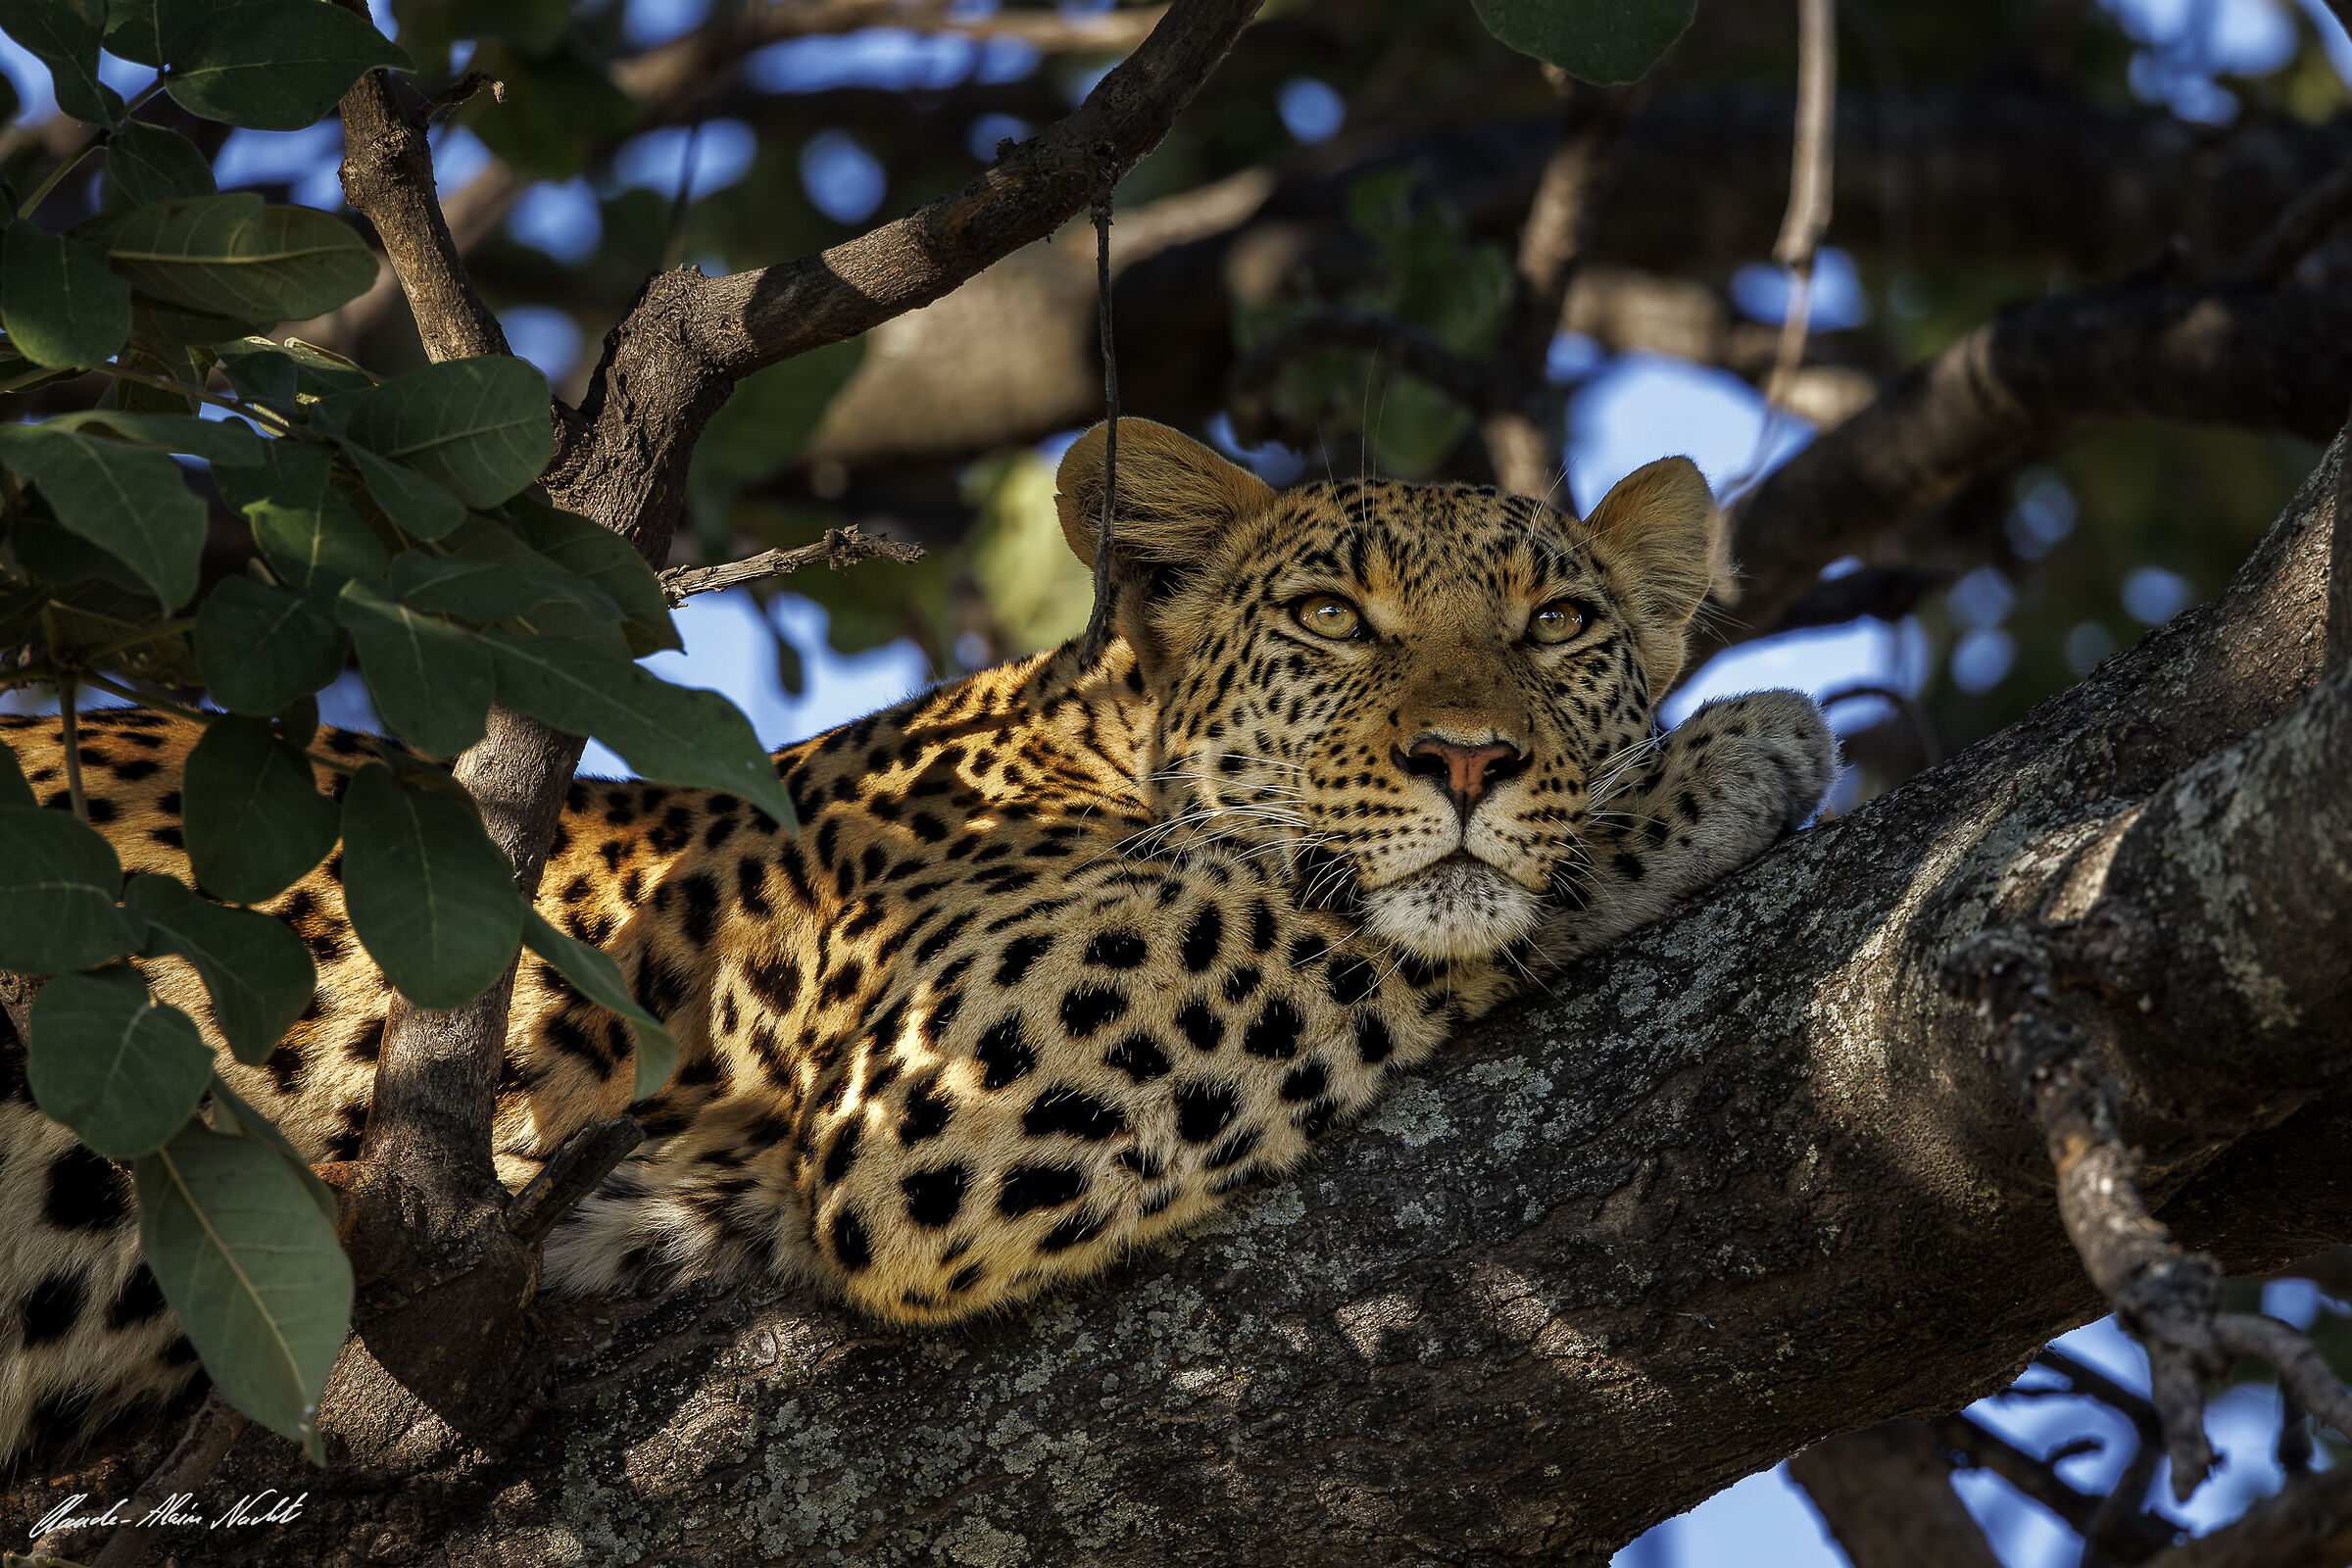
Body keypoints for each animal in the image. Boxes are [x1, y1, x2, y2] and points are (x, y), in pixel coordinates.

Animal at [0, 419, 1835, 1460]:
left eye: (1561, 626)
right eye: (1332, 616)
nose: (1472, 759)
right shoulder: (960, 1063)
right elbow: (1332, 906)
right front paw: (1721, 766)